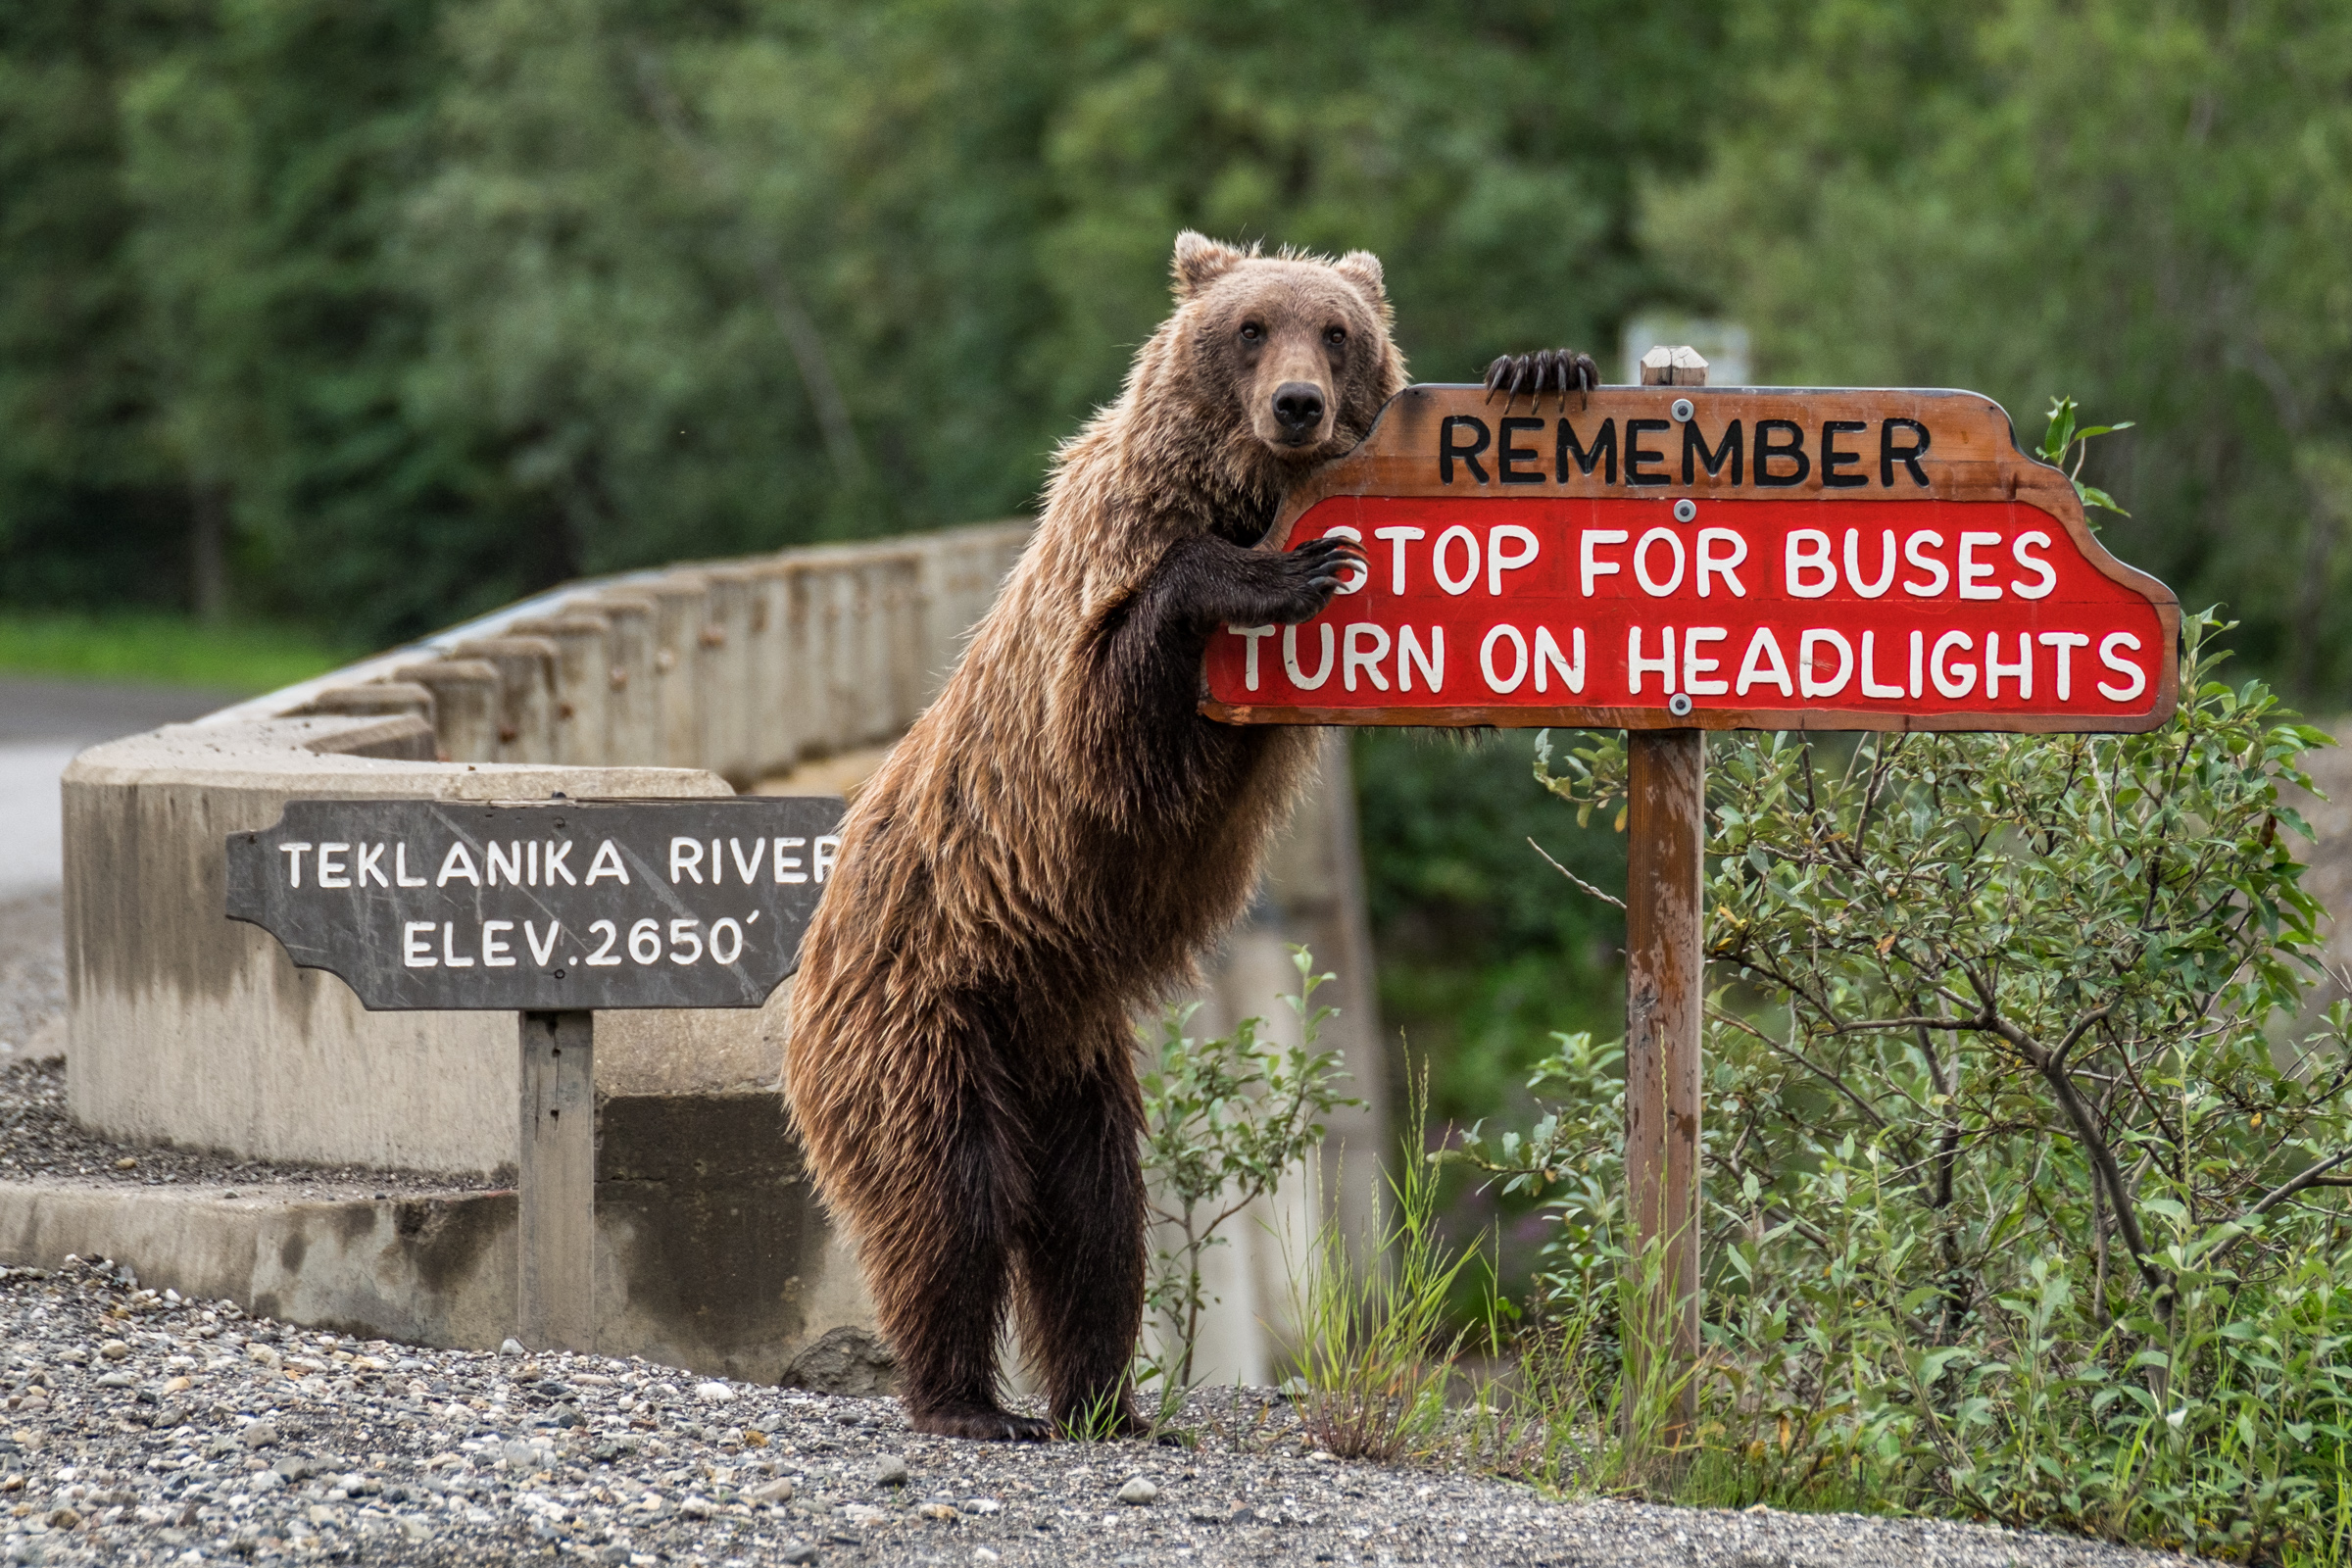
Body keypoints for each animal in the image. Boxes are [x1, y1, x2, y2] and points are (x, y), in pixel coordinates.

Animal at [790, 226, 1401, 1439]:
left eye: (1337, 328)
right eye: (1250, 327)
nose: (1299, 405)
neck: (1230, 489)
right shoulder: (1089, 617)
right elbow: (1114, 723)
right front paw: (1279, 571)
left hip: (1073, 1064)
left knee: (1097, 1223)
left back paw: (1105, 1399)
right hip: (926, 1013)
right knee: (949, 1201)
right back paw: (965, 1399)